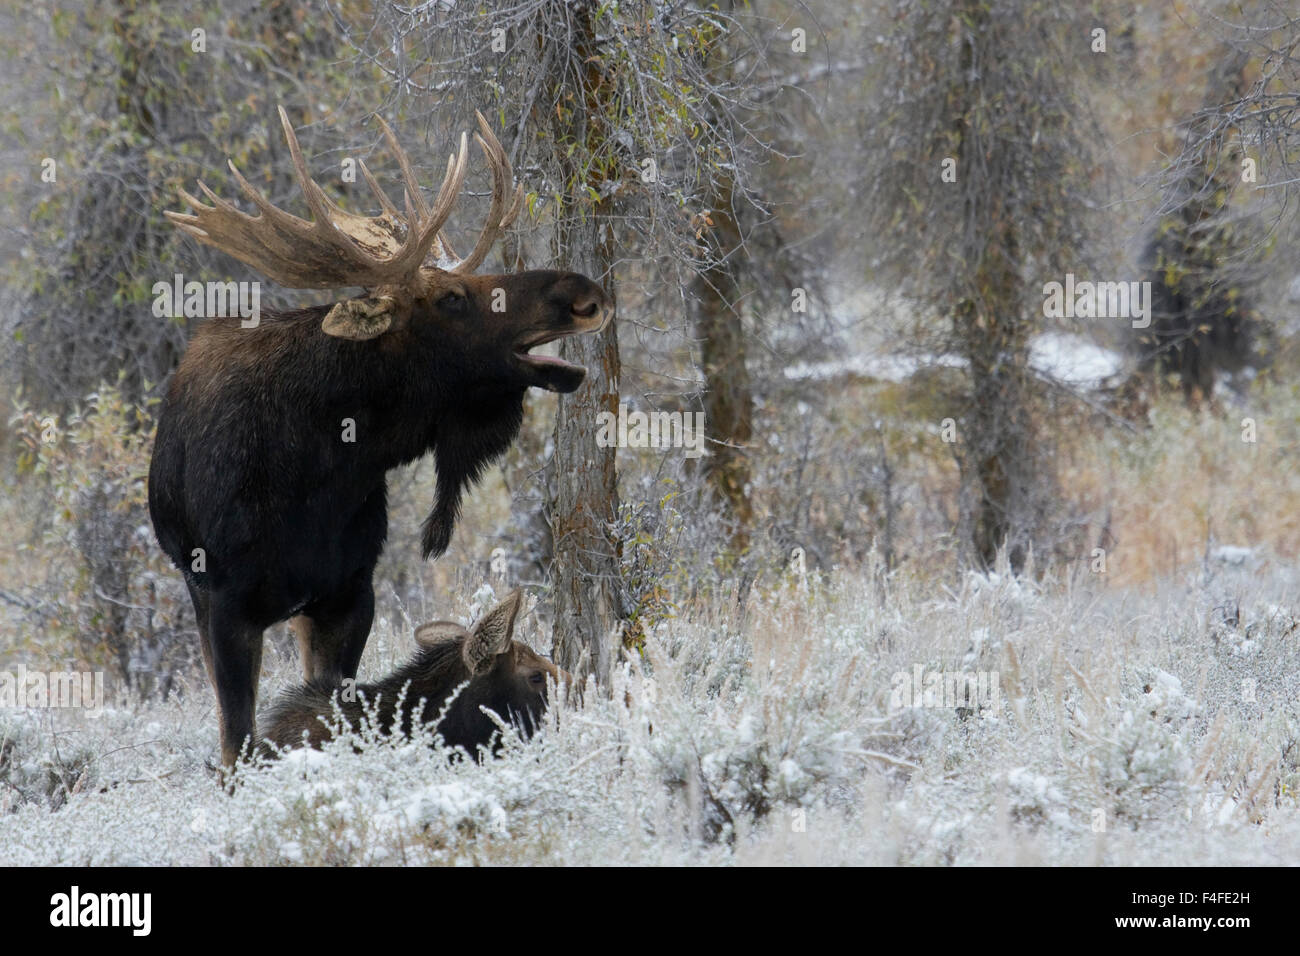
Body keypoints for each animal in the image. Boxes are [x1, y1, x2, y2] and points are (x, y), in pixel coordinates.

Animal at [148, 108, 612, 771]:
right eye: (451, 297)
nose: (584, 296)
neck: (319, 474)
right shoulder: (227, 601)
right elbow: (237, 743)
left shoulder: (349, 594)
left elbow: (336, 706)